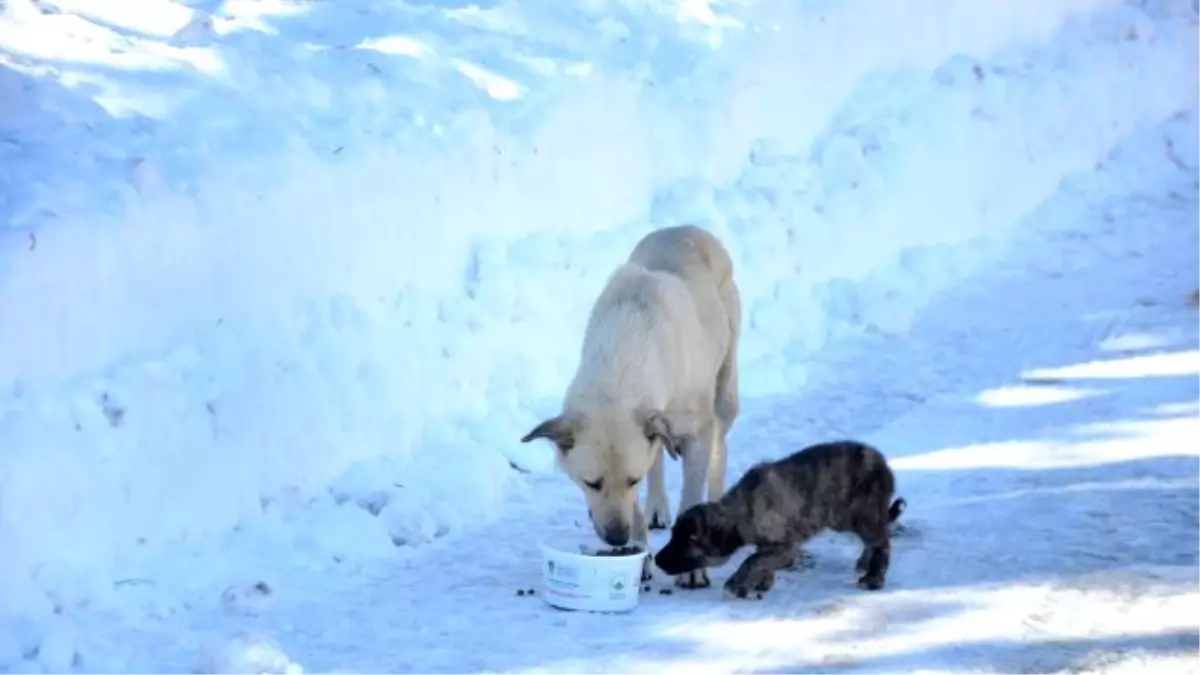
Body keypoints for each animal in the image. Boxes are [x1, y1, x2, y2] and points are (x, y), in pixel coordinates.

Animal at [523, 223, 739, 586]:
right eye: (591, 483)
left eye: (631, 481)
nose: (617, 538)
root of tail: (687, 228)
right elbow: (642, 492)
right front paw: (639, 556)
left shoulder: (695, 433)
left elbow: (691, 495)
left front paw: (692, 566)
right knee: (658, 458)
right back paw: (657, 507)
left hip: (725, 389)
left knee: (718, 451)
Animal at [652, 439, 902, 595]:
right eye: (673, 535)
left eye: (690, 540)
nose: (656, 559)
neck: (743, 508)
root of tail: (885, 466)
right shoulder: (769, 545)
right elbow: (761, 559)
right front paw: (761, 582)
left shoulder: (785, 547)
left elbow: (752, 560)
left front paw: (737, 583)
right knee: (876, 538)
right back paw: (864, 563)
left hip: (859, 515)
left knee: (882, 541)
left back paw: (874, 577)